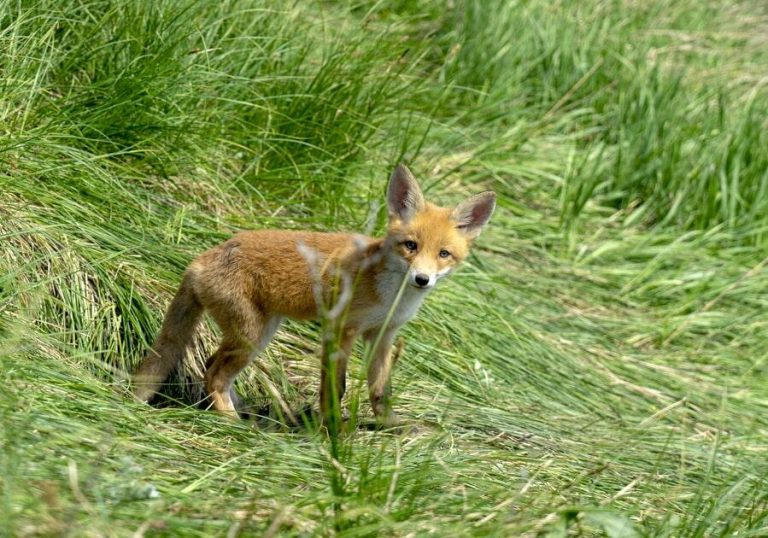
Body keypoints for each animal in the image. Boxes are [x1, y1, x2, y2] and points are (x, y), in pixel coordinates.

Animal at [133, 165, 496, 426]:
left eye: (444, 254)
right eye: (411, 246)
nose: (422, 279)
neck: (389, 295)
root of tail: (201, 258)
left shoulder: (382, 334)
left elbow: (380, 388)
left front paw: (390, 425)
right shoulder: (340, 329)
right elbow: (336, 387)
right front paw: (333, 430)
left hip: (260, 334)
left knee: (212, 367)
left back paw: (245, 413)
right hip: (251, 335)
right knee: (214, 375)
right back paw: (233, 423)